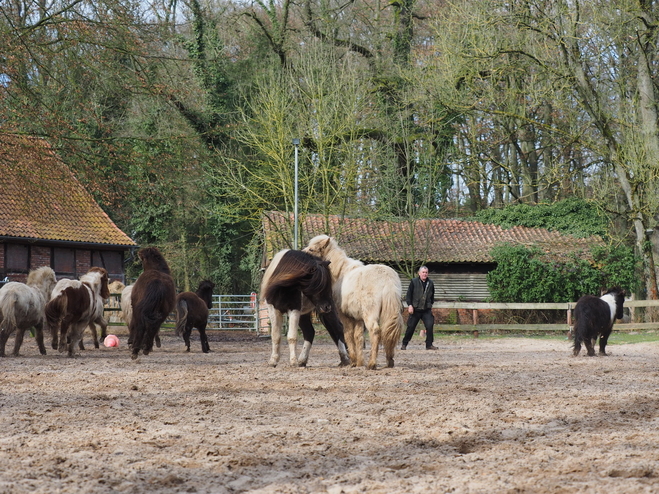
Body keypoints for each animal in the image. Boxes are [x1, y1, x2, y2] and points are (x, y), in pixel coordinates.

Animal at [306, 235, 408, 370]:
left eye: (312, 249)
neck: (340, 272)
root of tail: (388, 279)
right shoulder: (358, 318)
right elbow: (358, 337)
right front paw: (359, 362)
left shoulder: (345, 316)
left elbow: (348, 335)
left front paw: (354, 361)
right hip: (390, 312)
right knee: (390, 331)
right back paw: (389, 361)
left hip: (370, 315)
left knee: (375, 331)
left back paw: (371, 364)